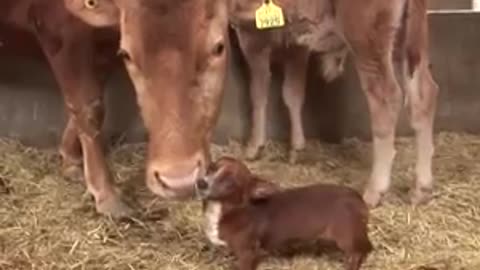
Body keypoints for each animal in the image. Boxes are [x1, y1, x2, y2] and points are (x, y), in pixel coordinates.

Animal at [0, 0, 229, 216]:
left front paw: (71, 159)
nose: (179, 180)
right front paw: (104, 193)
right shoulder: (58, 29)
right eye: (128, 55)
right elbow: (86, 106)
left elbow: (95, 98)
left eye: (219, 47)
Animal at [196, 156, 376, 270]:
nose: (201, 183)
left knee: (358, 253)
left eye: (230, 182)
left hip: (345, 237)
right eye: (211, 168)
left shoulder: (248, 254)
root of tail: (358, 199)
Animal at [229, 0, 438, 207]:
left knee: (387, 97)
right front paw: (297, 147)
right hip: (408, 40)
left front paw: (254, 147)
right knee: (424, 93)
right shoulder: (297, 40)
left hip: (366, 39)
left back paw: (375, 190)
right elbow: (293, 93)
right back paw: (421, 188)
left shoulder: (251, 34)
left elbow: (258, 91)